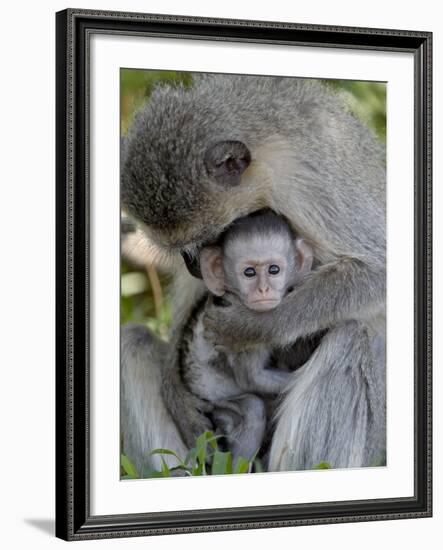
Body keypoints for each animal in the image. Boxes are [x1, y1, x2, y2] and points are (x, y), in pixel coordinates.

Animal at [179, 211, 314, 466]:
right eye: (249, 273)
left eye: (274, 270)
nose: (263, 290)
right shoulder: (244, 330)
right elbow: (252, 379)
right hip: (214, 403)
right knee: (252, 407)